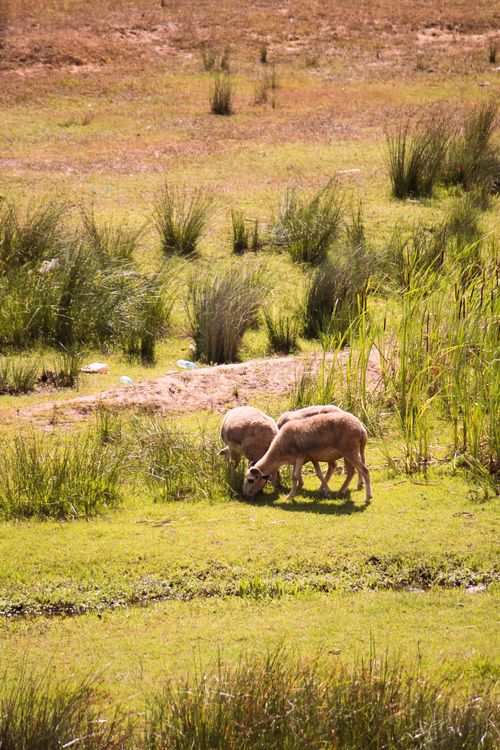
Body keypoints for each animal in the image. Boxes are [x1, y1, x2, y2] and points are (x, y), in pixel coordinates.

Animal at [243, 410, 372, 503]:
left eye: (250, 480)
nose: (245, 495)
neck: (280, 452)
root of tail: (361, 429)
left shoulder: (300, 454)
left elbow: (294, 476)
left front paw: (290, 496)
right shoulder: (310, 457)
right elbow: (318, 473)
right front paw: (327, 491)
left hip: (349, 450)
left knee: (364, 470)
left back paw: (368, 497)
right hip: (350, 452)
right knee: (351, 471)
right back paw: (341, 491)